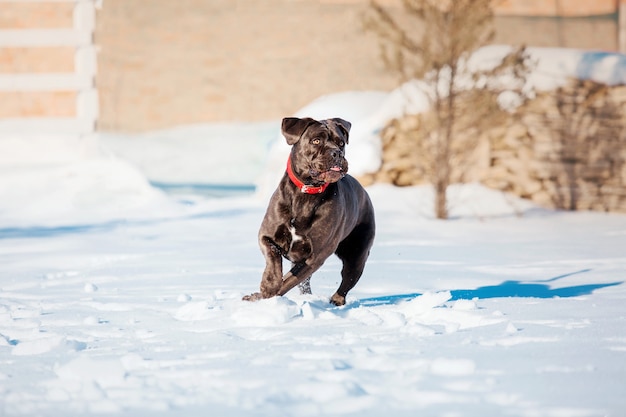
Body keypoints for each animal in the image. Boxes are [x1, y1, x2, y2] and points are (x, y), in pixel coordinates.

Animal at [241, 115, 372, 304]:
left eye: (341, 143)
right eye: (316, 140)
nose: (337, 153)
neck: (307, 193)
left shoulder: (315, 257)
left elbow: (287, 282)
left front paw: (268, 292)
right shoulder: (266, 235)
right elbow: (274, 259)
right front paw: (268, 285)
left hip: (358, 253)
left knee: (348, 279)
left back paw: (336, 300)